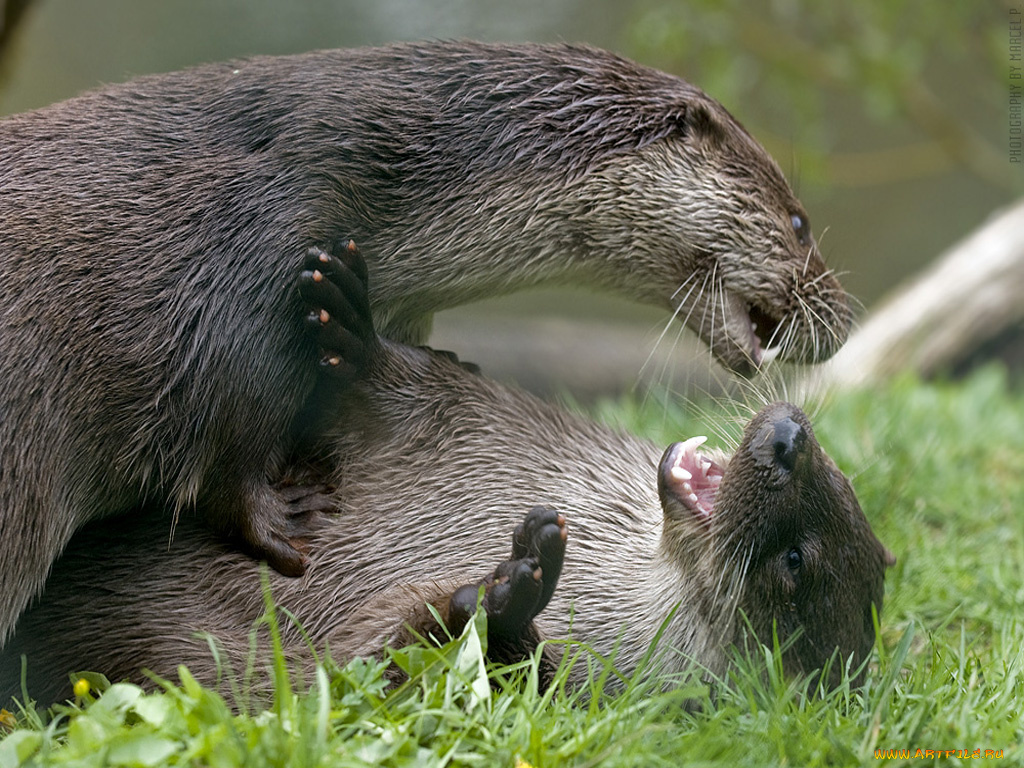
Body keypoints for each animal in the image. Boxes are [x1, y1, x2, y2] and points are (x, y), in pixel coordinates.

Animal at [0, 40, 847, 643]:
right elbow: (223, 429)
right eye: (800, 221)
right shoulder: (260, 243)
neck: (374, 160)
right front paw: (282, 524)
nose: (839, 316)